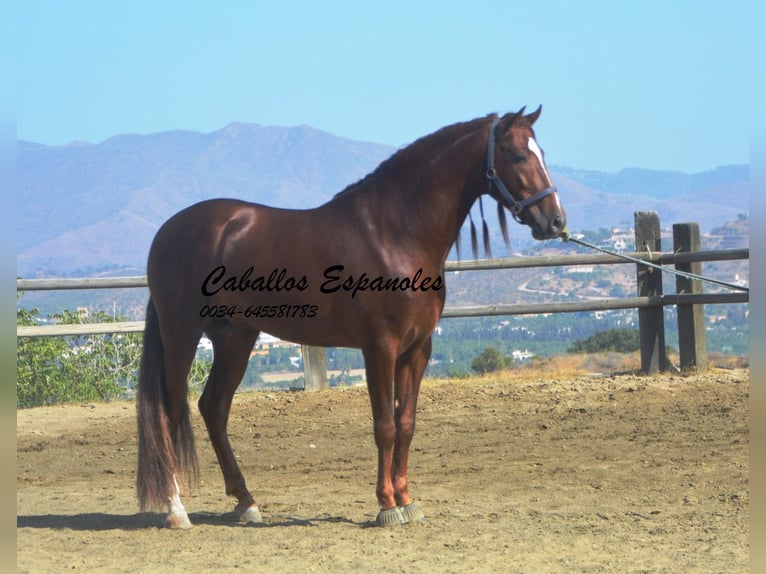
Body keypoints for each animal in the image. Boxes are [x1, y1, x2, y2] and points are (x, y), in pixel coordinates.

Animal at [135, 104, 568, 532]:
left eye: (542, 153)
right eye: (519, 155)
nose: (556, 222)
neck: (395, 234)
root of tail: (168, 231)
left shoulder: (417, 349)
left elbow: (406, 424)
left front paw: (408, 501)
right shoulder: (380, 347)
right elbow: (385, 426)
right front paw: (387, 506)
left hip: (235, 337)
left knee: (214, 408)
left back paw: (246, 503)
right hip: (183, 334)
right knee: (171, 412)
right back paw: (177, 509)